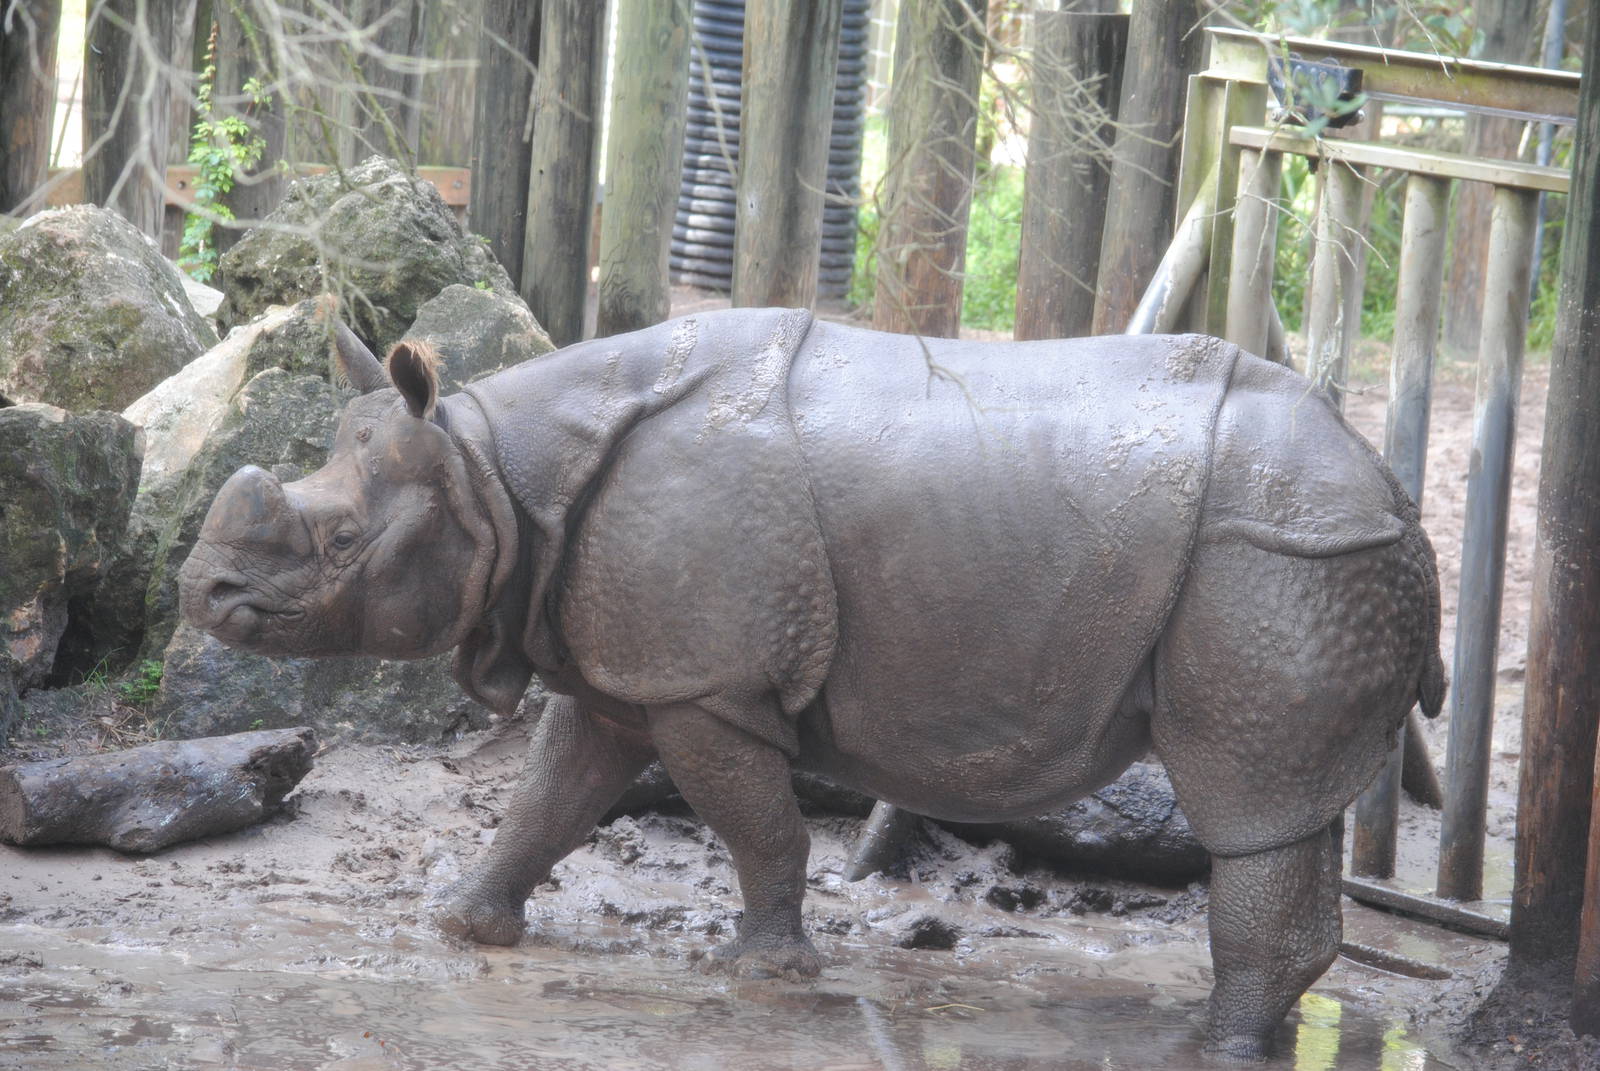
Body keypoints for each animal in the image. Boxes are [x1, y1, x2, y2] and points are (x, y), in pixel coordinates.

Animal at [178, 307, 1444, 1060]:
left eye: (341, 543)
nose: (200, 592)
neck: (490, 471)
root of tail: (1388, 487)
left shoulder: (706, 681)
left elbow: (754, 822)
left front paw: (763, 970)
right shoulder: (630, 664)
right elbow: (549, 796)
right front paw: (457, 925)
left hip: (1281, 559)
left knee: (1248, 799)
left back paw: (1213, 1048)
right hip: (1303, 556)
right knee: (1286, 810)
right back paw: (1239, 1036)